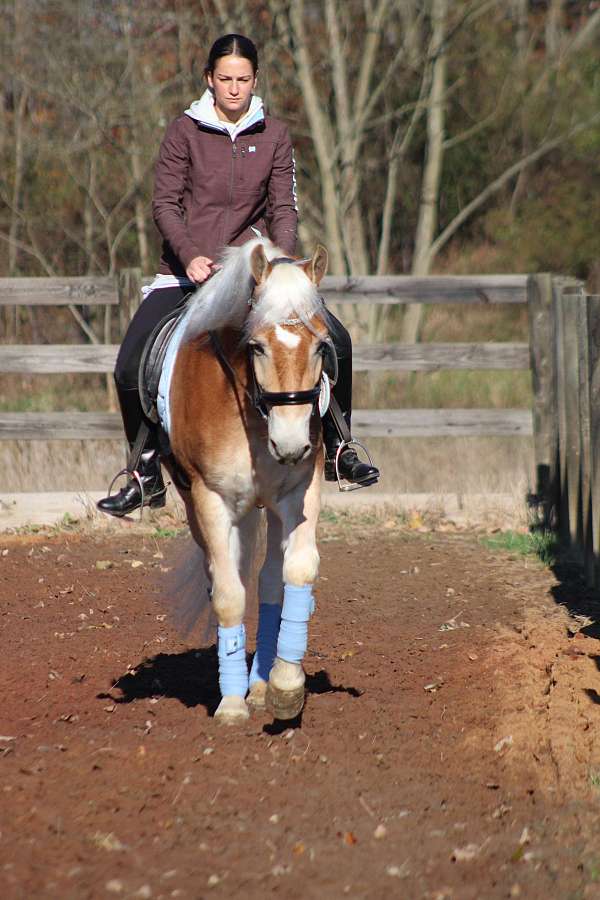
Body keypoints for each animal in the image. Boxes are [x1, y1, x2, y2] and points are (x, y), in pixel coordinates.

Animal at [162, 237, 333, 723]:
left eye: (321, 347)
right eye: (256, 347)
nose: (291, 444)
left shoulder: (299, 490)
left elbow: (296, 571)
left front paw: (285, 686)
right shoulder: (212, 499)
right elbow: (227, 595)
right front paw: (232, 704)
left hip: (269, 506)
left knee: (268, 580)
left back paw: (261, 682)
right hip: (203, 508)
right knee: (225, 576)